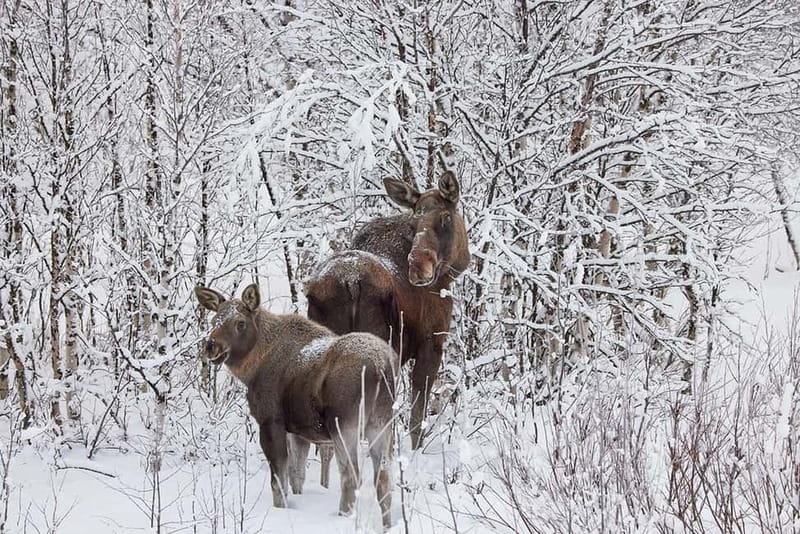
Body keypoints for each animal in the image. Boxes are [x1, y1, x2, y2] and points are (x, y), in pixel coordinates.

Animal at [194, 283, 395, 528]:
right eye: (214, 321)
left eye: (240, 323)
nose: (211, 347)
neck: (251, 370)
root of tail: (381, 367)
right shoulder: (299, 432)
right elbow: (296, 475)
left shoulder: (270, 421)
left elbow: (279, 480)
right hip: (381, 424)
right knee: (383, 478)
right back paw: (387, 525)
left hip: (345, 424)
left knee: (351, 476)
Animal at [306, 170, 470, 450]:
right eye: (413, 224)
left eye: (445, 217)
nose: (418, 267)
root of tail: (351, 282)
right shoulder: (432, 343)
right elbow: (417, 416)